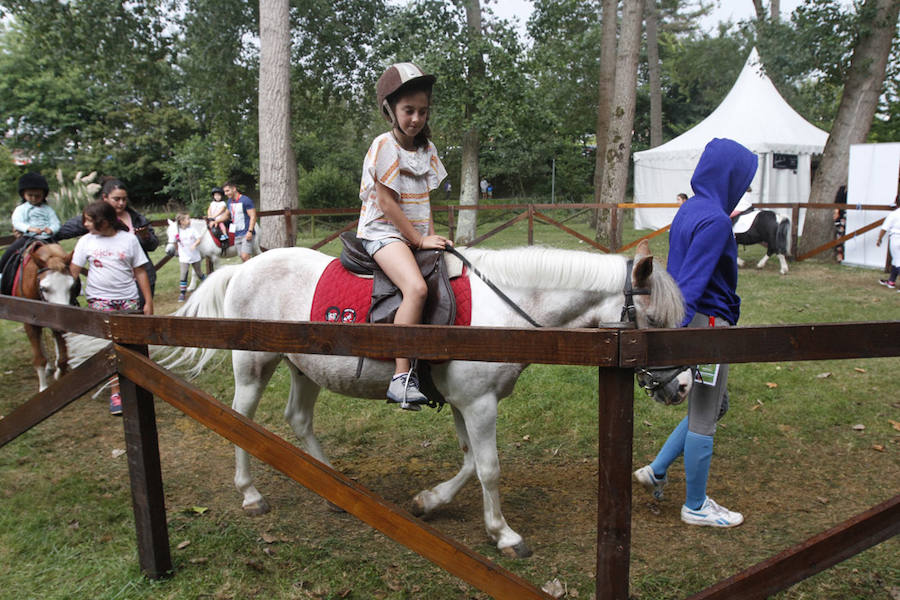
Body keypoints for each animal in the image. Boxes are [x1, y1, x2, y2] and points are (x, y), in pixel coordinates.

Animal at [12, 241, 77, 392]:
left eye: (71, 287)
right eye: (44, 288)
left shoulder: (56, 321)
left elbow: (63, 358)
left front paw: (60, 373)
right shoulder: (29, 323)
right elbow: (39, 359)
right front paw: (43, 388)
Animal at [169, 240, 684, 556]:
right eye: (654, 321)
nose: (681, 386)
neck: (505, 308)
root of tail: (243, 268)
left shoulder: (463, 401)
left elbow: (470, 462)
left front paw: (429, 502)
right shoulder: (479, 404)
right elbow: (489, 468)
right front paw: (504, 534)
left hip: (304, 367)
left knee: (298, 418)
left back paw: (332, 486)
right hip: (253, 364)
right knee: (240, 420)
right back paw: (251, 494)